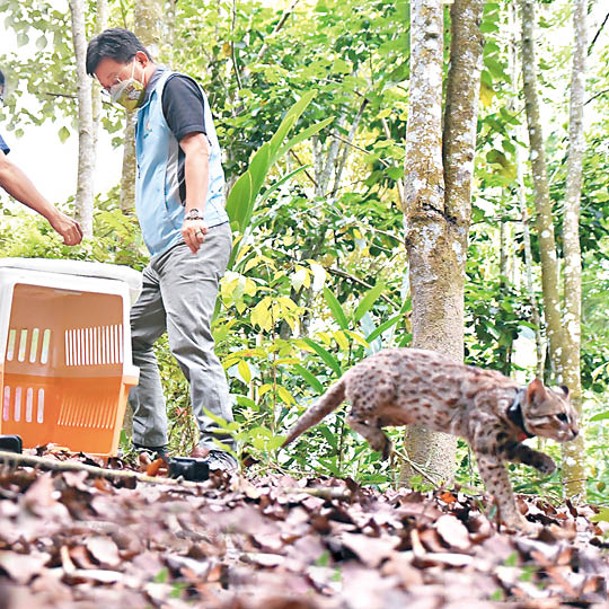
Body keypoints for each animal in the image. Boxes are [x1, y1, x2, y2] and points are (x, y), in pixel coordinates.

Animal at [282, 350, 576, 528]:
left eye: (574, 416)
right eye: (561, 416)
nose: (575, 432)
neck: (514, 406)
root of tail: (354, 368)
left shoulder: (501, 444)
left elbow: (525, 452)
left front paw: (545, 462)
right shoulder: (486, 448)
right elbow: (503, 489)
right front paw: (517, 522)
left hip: (398, 414)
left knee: (364, 420)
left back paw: (382, 440)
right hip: (381, 391)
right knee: (349, 416)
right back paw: (377, 439)